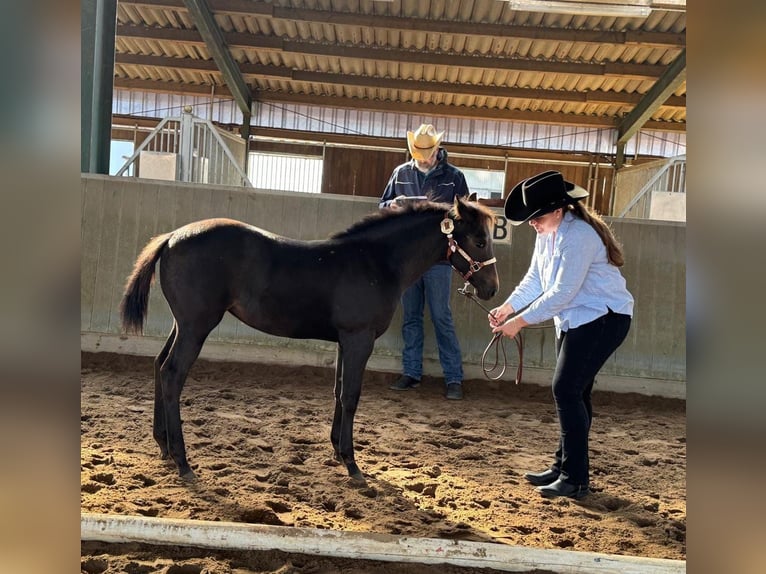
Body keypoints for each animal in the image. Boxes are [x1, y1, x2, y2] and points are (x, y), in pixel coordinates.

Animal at [120, 197, 499, 483]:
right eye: (479, 241)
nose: (492, 289)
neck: (376, 262)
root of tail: (171, 237)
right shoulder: (359, 338)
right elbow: (351, 396)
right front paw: (352, 464)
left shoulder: (346, 340)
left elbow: (338, 390)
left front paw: (337, 450)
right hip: (197, 326)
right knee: (172, 374)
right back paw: (183, 462)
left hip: (183, 324)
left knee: (159, 365)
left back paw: (164, 447)